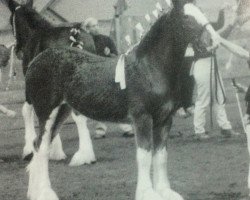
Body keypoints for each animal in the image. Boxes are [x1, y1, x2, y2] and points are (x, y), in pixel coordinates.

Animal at [5, 0, 98, 166]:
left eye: (11, 21)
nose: (18, 51)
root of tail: (75, 35)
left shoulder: (33, 87)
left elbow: (28, 111)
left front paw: (31, 150)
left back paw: (83, 156)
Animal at [23, 0, 223, 199]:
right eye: (187, 17)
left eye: (202, 12)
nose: (214, 41)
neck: (149, 69)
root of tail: (36, 61)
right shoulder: (142, 118)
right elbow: (144, 156)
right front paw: (147, 193)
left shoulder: (164, 120)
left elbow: (161, 156)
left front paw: (164, 191)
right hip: (46, 111)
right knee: (41, 147)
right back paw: (45, 192)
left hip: (62, 111)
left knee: (39, 145)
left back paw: (35, 191)